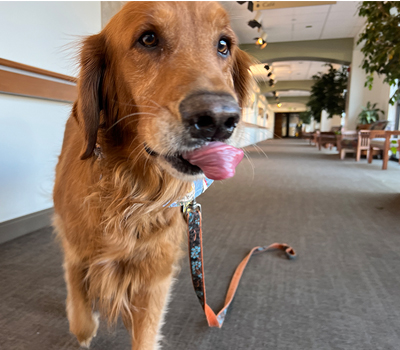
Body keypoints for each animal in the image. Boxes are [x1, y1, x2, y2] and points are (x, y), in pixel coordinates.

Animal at [52, 1, 252, 348]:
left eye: (223, 45)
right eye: (148, 39)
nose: (219, 119)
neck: (131, 188)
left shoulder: (154, 275)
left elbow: (145, 334)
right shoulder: (76, 246)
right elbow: (78, 299)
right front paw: (84, 327)